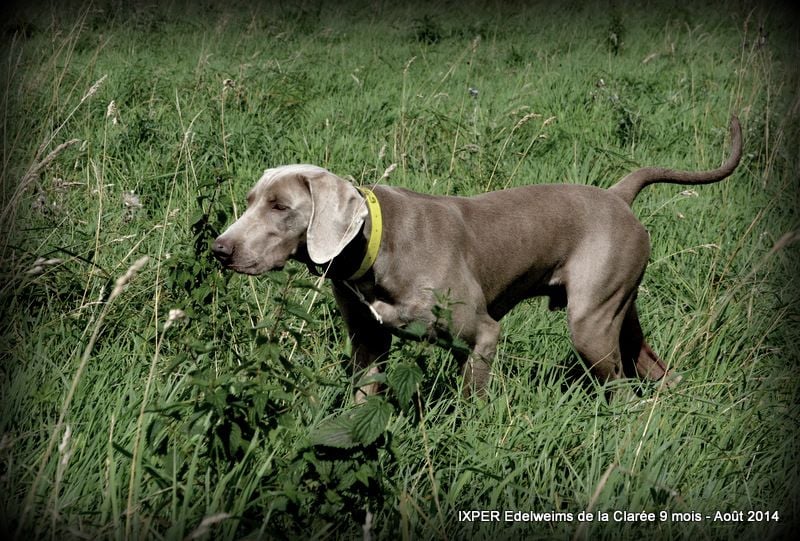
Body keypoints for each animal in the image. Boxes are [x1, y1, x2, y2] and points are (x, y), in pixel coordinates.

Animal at [214, 116, 744, 398]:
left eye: (280, 207)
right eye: (249, 200)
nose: (219, 249)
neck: (376, 246)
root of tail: (617, 195)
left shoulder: (482, 336)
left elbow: (473, 400)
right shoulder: (369, 343)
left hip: (590, 323)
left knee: (619, 386)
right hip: (617, 308)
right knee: (653, 367)